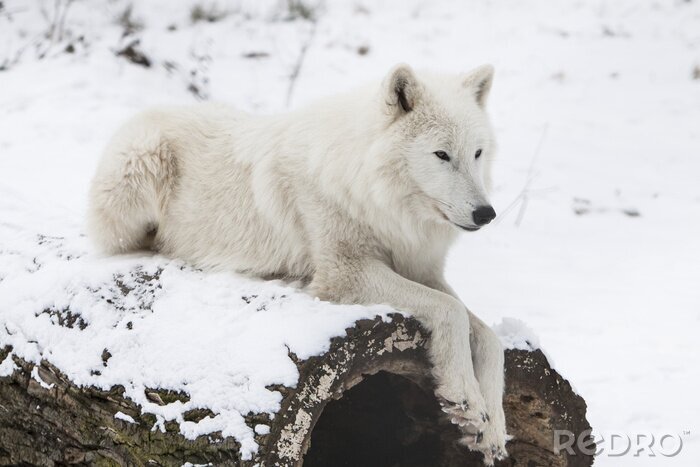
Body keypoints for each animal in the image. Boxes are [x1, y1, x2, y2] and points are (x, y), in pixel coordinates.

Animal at [87, 63, 507, 463]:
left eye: (477, 153)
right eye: (441, 155)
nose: (486, 214)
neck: (369, 192)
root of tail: (145, 112)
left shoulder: (420, 269)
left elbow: (489, 337)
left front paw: (492, 428)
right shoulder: (346, 272)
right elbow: (451, 311)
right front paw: (466, 398)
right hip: (140, 170)